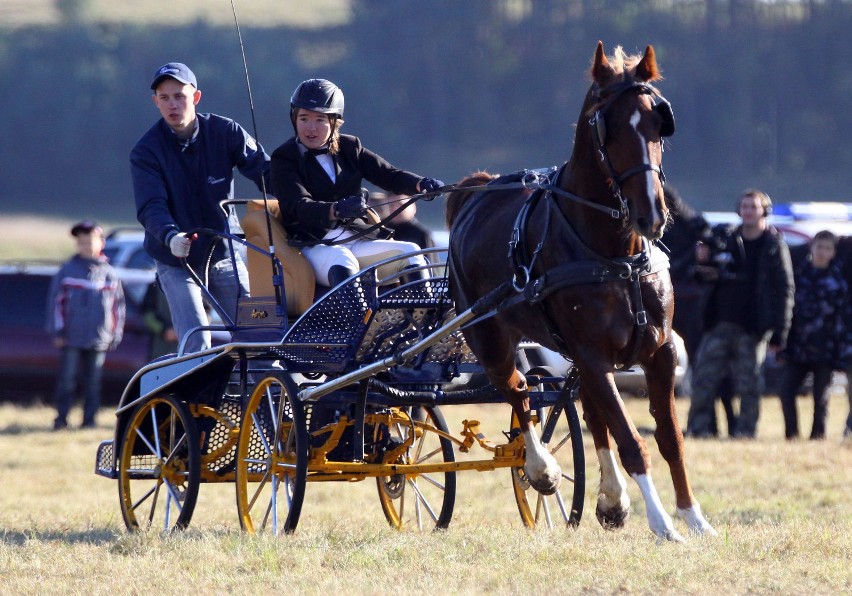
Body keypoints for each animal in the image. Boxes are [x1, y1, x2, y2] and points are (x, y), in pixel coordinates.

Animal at [446, 44, 720, 544]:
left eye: (659, 124)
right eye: (607, 126)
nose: (652, 214)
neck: (615, 254)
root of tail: (475, 190)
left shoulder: (659, 351)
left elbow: (668, 438)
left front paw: (694, 518)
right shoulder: (593, 354)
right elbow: (632, 441)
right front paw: (663, 524)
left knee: (590, 414)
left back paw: (611, 499)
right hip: (491, 340)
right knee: (518, 392)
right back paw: (541, 469)